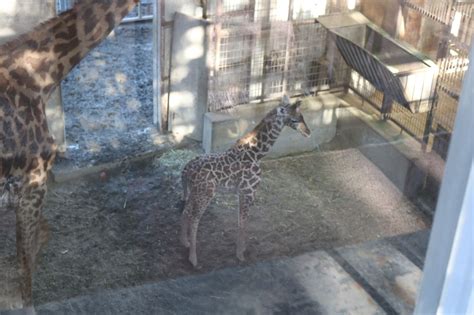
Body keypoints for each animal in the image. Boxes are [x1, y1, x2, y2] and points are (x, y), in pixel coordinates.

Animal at [181, 95, 312, 266]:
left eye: (302, 116)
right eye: (295, 119)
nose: (308, 132)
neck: (257, 153)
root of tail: (185, 170)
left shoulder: (241, 192)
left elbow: (240, 221)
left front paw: (241, 250)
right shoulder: (248, 191)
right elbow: (243, 222)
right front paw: (240, 255)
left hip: (193, 192)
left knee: (186, 212)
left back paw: (185, 243)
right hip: (205, 194)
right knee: (195, 218)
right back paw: (193, 258)